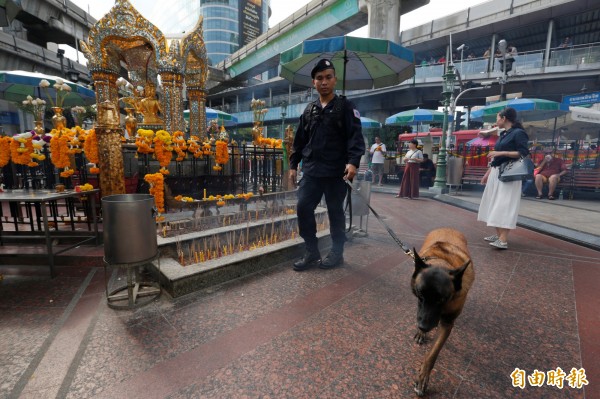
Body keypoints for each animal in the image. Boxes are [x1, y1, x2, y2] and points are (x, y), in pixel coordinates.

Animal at [412, 228, 474, 396]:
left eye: (441, 300)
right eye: (420, 295)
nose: (423, 327)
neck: (442, 263)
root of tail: (449, 228)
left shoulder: (447, 323)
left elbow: (433, 353)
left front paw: (423, 378)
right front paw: (421, 333)